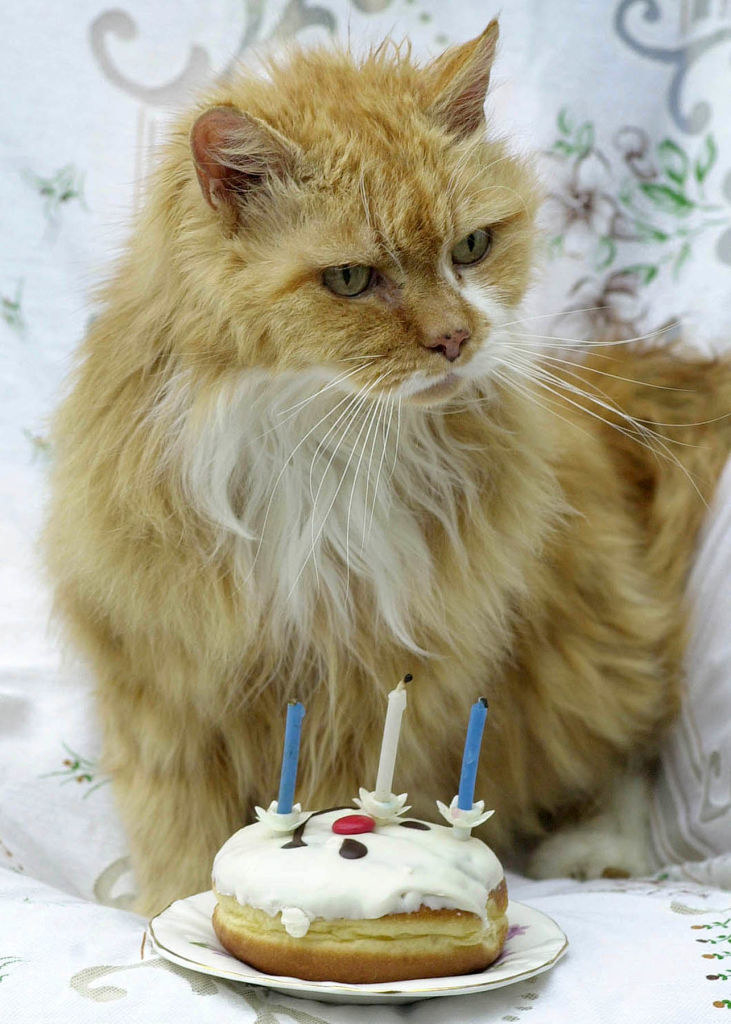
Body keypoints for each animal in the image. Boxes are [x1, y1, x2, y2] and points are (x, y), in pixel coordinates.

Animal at [45, 22, 728, 913]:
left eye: (471, 247)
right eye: (349, 279)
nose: (455, 340)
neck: (318, 443)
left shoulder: (377, 685)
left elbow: (340, 810)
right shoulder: (167, 688)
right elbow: (179, 841)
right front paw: (177, 918)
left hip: (593, 637)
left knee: (624, 752)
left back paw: (596, 853)